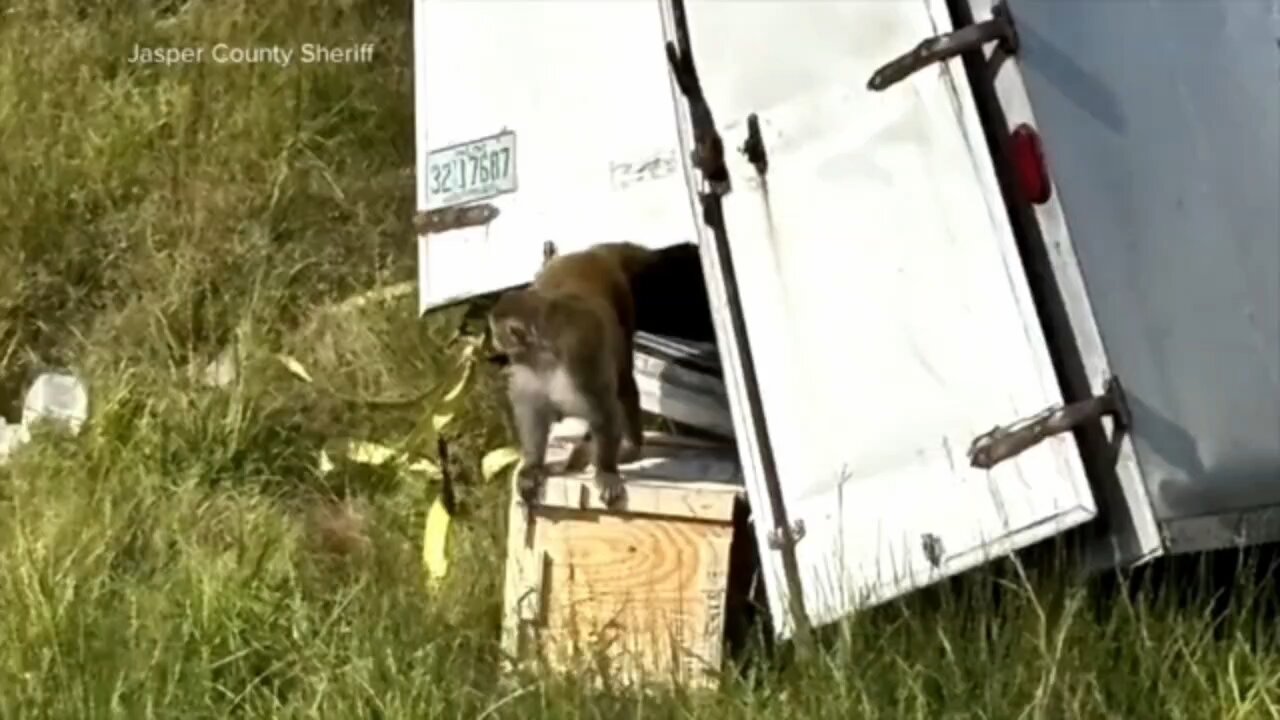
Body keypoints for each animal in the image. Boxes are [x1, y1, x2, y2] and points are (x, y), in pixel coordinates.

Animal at [488, 242, 658, 508]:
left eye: (497, 332)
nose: (493, 341)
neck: (544, 353)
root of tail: (590, 253)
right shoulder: (527, 368)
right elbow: (533, 412)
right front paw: (533, 466)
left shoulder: (581, 356)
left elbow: (604, 410)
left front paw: (606, 471)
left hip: (622, 304)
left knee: (624, 383)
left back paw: (630, 447)